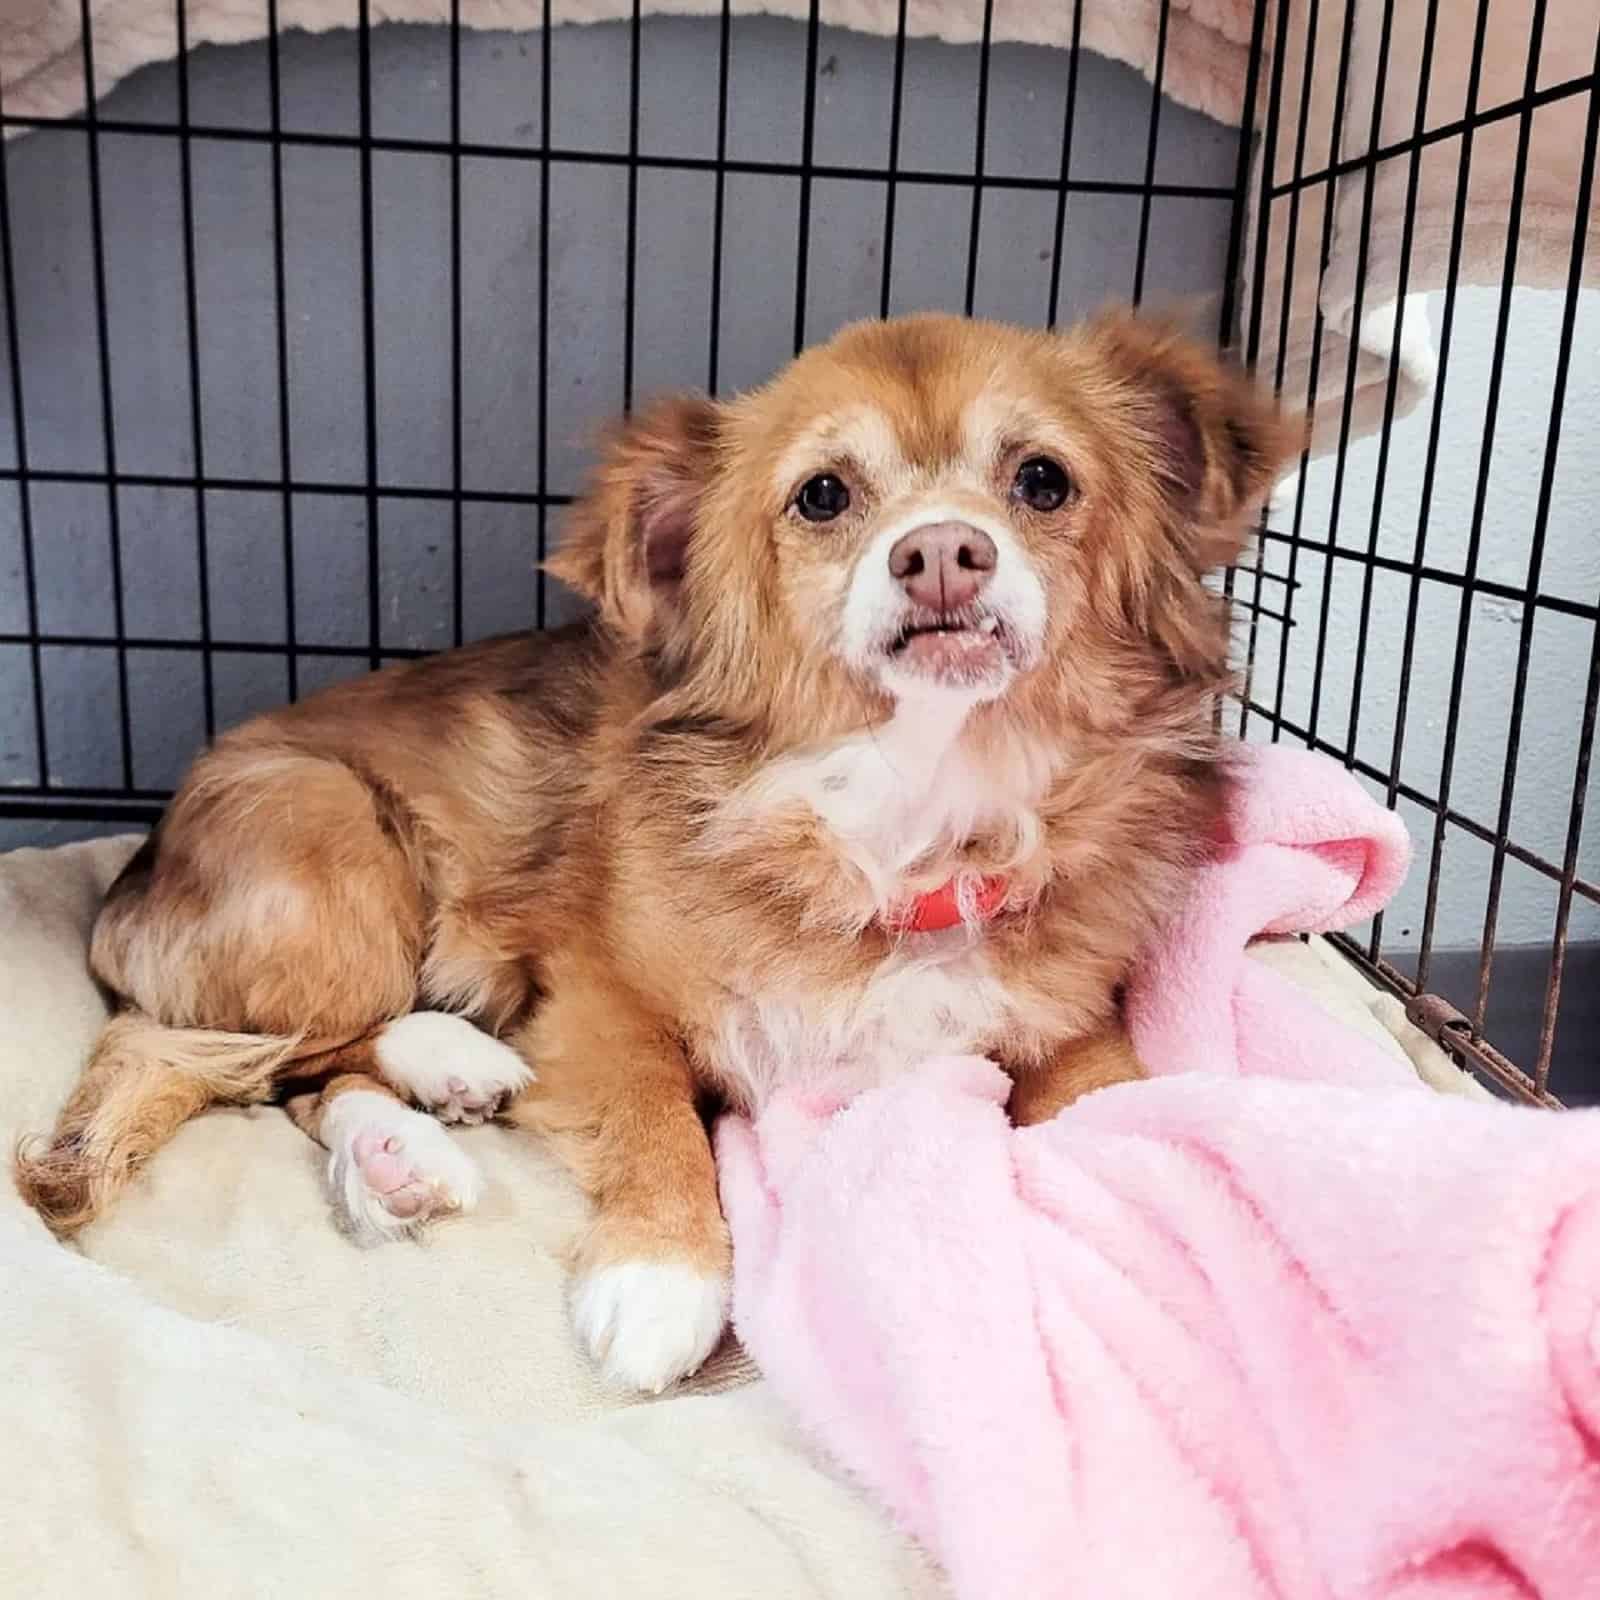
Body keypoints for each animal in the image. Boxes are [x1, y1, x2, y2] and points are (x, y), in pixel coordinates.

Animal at [12, 308, 1299, 1388]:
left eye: (1042, 480)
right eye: (821, 496)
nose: (941, 550)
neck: (914, 804)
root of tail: (131, 881)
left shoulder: (1063, 1014)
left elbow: (1112, 1087)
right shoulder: (600, 998)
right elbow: (653, 1114)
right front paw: (660, 1273)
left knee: (292, 1078)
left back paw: (405, 1142)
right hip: (334, 852)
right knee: (262, 1056)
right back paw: (441, 1076)